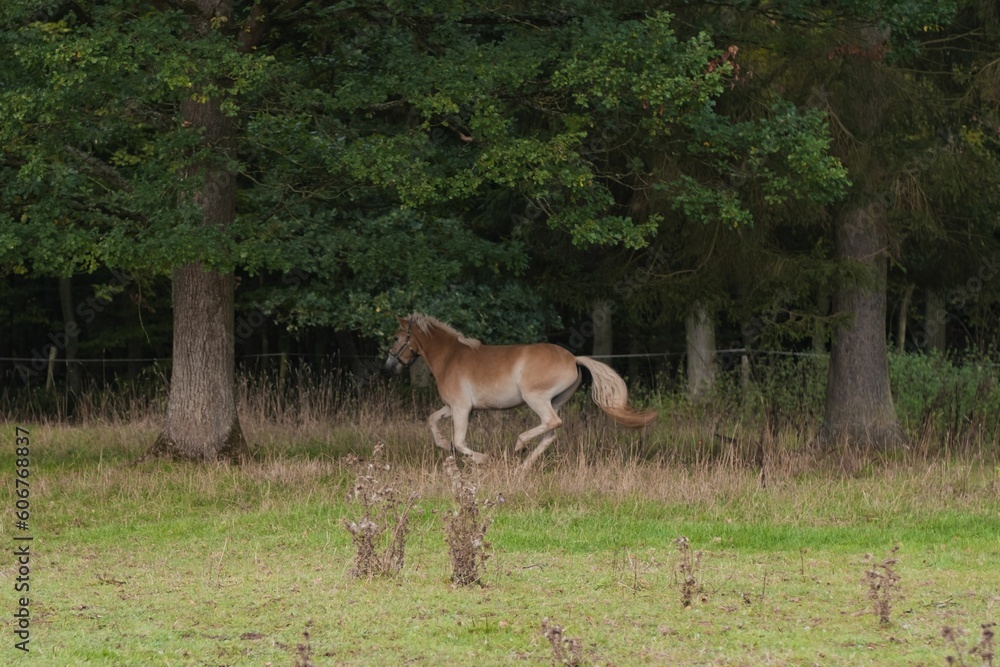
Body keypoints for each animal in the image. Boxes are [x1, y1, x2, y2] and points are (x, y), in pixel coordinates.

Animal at [382, 314, 656, 468]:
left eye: (395, 338)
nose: (388, 367)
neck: (449, 357)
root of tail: (573, 359)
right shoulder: (453, 407)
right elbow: (432, 420)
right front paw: (441, 444)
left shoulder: (461, 408)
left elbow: (459, 442)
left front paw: (483, 459)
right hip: (555, 401)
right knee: (550, 433)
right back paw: (524, 465)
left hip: (536, 398)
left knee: (551, 423)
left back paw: (519, 446)